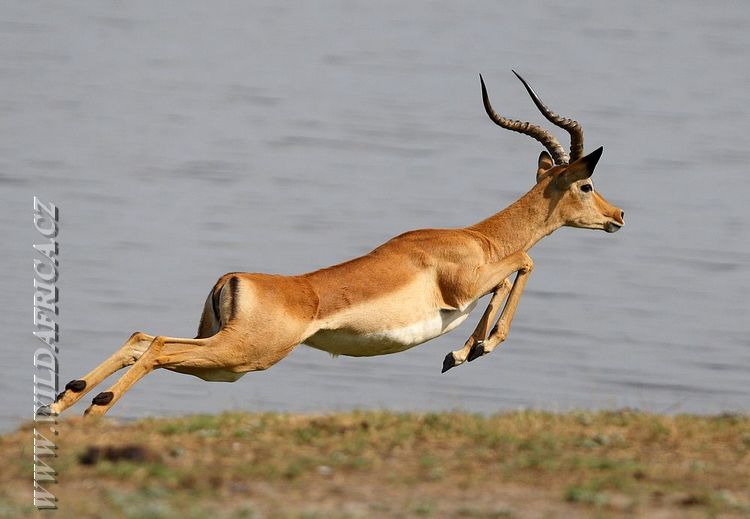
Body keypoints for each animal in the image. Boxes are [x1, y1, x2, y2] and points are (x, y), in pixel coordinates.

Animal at [53, 71, 624, 418]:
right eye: (587, 184)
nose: (618, 216)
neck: (476, 237)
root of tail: (232, 278)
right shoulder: (464, 286)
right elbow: (523, 261)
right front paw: (472, 349)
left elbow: (513, 271)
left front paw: (461, 352)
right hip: (240, 356)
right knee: (155, 348)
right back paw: (94, 408)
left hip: (222, 362)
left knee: (141, 337)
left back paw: (62, 404)